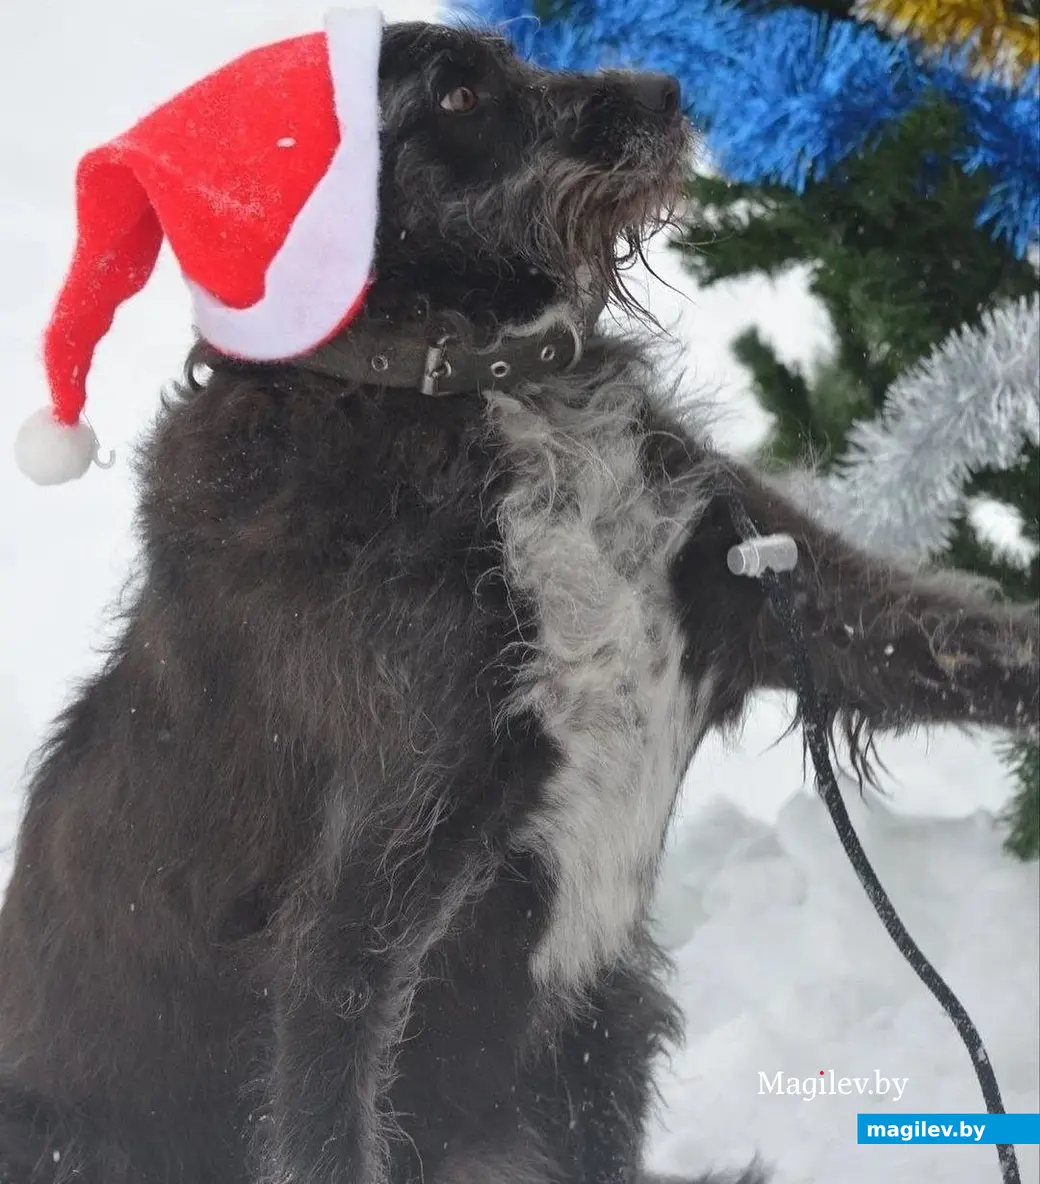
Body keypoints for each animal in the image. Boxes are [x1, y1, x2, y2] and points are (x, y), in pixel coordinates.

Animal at [0, 16, 1037, 1184]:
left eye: (513, 57)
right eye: (455, 97)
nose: (665, 88)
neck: (477, 383)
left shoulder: (787, 591)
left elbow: (972, 640)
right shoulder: (359, 904)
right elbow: (327, 1111)